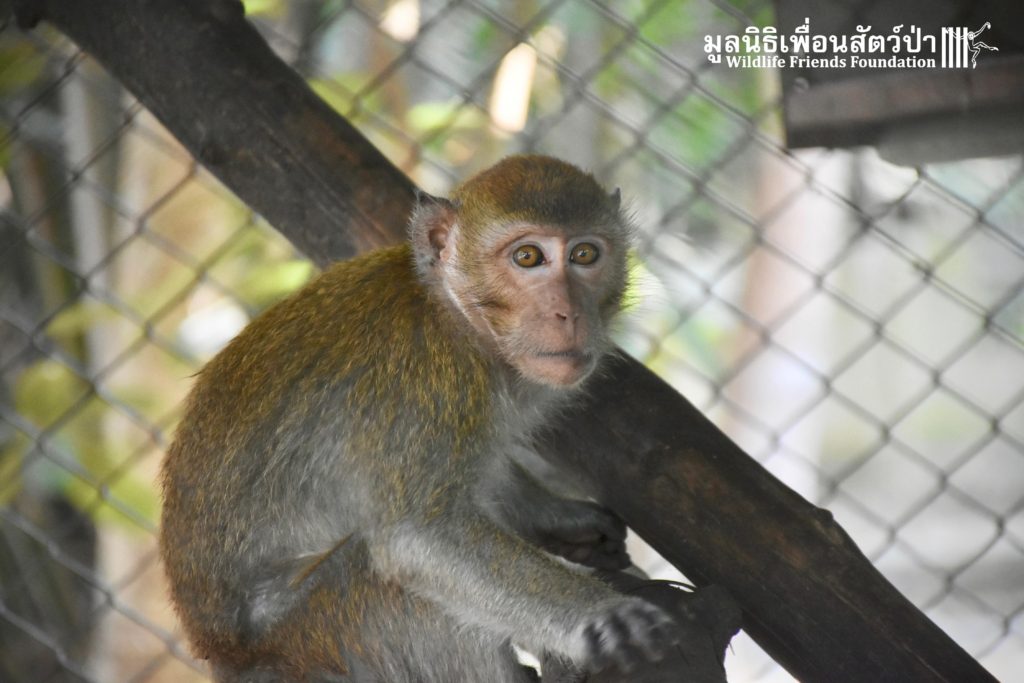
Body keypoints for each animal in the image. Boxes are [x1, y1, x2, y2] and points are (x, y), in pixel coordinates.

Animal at [160, 155, 679, 682]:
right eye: (529, 257)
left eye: (585, 255)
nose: (568, 314)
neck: (453, 313)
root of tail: (226, 657)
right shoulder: (429, 379)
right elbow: (420, 538)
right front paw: (602, 617)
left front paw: (566, 521)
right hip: (320, 637)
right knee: (384, 576)